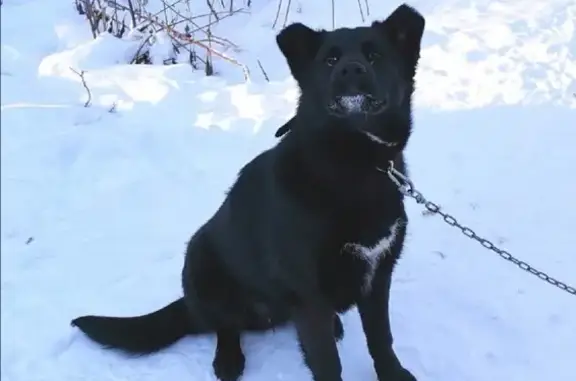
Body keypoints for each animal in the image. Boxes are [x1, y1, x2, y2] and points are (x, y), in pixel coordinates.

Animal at [71, 3, 424, 380]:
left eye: (375, 56)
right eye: (330, 60)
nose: (351, 69)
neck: (354, 163)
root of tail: (190, 305)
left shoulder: (378, 276)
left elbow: (381, 338)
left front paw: (393, 373)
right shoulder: (310, 296)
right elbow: (327, 361)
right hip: (201, 259)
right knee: (225, 326)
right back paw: (228, 359)